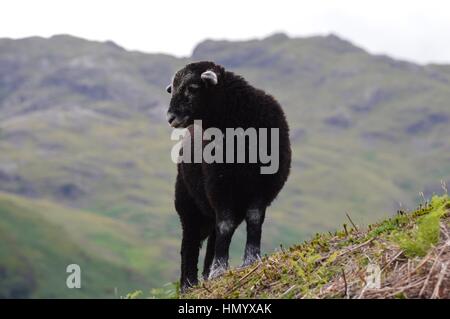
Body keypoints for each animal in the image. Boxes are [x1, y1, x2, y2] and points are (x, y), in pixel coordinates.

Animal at [165, 60, 292, 292]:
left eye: (192, 88)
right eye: (174, 89)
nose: (170, 118)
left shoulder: (262, 186)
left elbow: (253, 219)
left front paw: (250, 260)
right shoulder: (220, 185)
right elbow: (225, 225)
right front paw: (220, 270)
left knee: (213, 237)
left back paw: (206, 274)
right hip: (188, 204)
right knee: (190, 241)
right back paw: (189, 283)